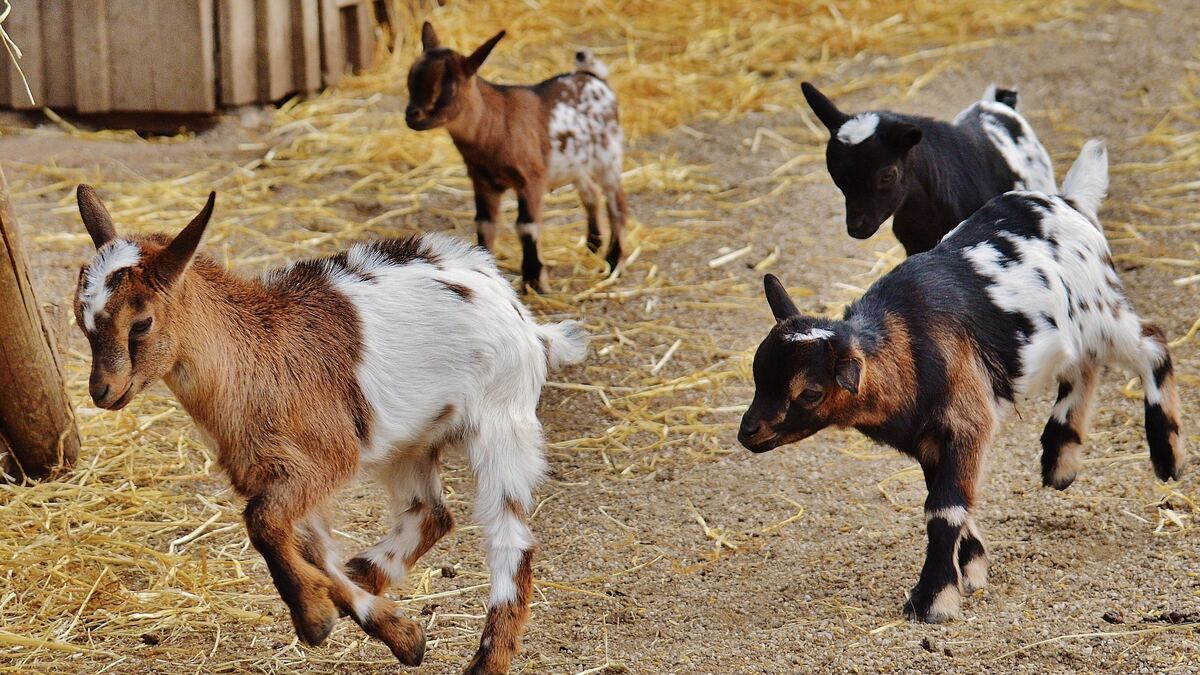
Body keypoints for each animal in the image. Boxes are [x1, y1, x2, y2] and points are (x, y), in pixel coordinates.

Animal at [72, 183, 588, 672]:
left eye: (141, 323)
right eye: (82, 320)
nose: (103, 391)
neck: (255, 354)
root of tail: (526, 321)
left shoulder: (322, 459)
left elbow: (263, 524)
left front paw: (314, 619)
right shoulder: (274, 473)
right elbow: (309, 547)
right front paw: (397, 632)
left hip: (502, 422)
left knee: (510, 539)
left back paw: (486, 662)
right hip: (409, 441)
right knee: (430, 513)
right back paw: (368, 575)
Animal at [403, 22, 628, 291]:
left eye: (450, 88)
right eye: (410, 78)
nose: (412, 116)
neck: (497, 124)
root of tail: (595, 78)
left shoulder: (530, 179)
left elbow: (527, 226)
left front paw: (535, 282)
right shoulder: (482, 181)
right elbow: (485, 223)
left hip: (609, 156)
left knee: (616, 204)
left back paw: (614, 262)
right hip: (576, 164)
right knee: (590, 193)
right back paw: (593, 246)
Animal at [734, 141, 1185, 619]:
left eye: (810, 392)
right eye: (758, 372)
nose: (748, 432)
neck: (908, 343)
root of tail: (1070, 201)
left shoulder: (967, 421)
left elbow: (944, 509)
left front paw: (933, 599)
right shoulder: (929, 440)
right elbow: (951, 501)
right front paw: (970, 570)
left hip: (1102, 311)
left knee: (1151, 343)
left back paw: (1167, 456)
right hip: (1078, 329)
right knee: (1086, 365)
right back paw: (1060, 460)